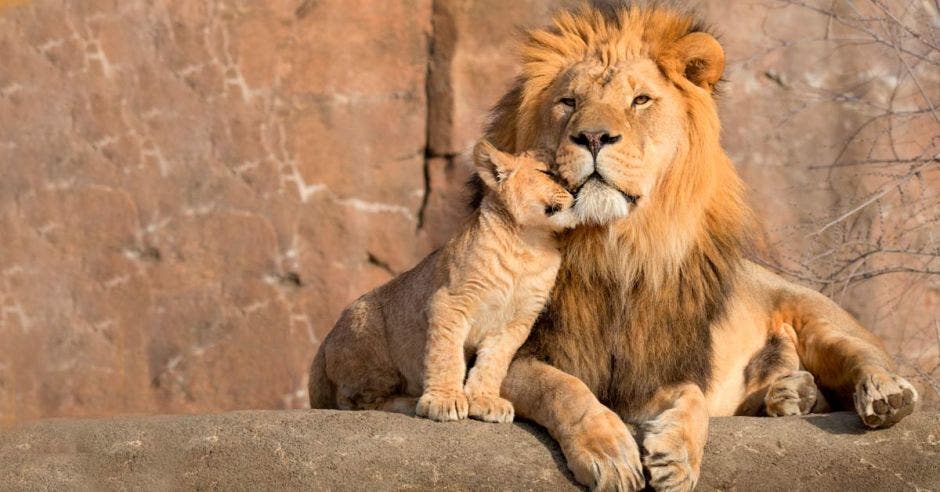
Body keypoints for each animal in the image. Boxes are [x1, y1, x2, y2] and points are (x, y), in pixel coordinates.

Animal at [310, 1, 916, 490]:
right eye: (568, 102)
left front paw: (677, 458)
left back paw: (878, 395)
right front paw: (611, 455)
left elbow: (692, 400)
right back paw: (789, 394)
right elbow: (567, 391)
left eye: (641, 100)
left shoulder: (658, 363)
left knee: (861, 354)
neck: (616, 251)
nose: (594, 136)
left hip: (815, 313)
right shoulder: (529, 354)